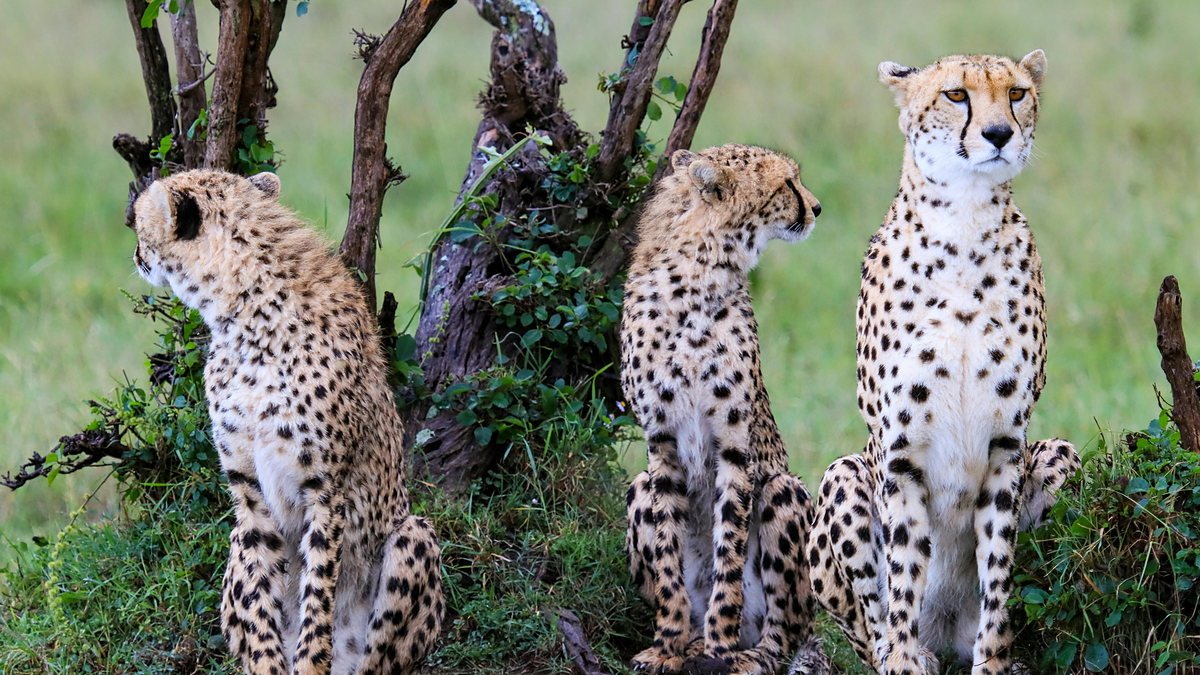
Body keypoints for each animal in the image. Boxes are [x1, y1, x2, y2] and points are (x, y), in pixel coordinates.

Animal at [128, 170, 445, 675]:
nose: (136, 256)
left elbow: (317, 596)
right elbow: (260, 597)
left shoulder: (325, 491)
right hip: (236, 539)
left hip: (411, 535)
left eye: (139, 225)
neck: (244, 319)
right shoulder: (248, 493)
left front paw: (308, 660)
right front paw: (267, 660)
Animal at [621, 144, 828, 674]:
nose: (817, 208)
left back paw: (743, 654)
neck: (698, 276)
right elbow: (669, 556)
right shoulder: (661, 446)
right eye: (787, 184)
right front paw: (668, 646)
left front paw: (719, 645)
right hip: (638, 486)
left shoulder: (735, 447)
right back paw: (692, 642)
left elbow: (728, 553)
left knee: (784, 633)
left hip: (781, 491)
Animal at [804, 51, 1080, 675]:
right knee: (872, 625)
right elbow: (905, 574)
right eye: (957, 95)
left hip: (1060, 453)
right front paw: (905, 661)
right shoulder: (900, 453)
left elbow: (999, 576)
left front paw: (994, 662)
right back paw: (904, 653)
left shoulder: (1006, 446)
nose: (999, 133)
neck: (964, 224)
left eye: (1017, 93)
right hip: (843, 475)